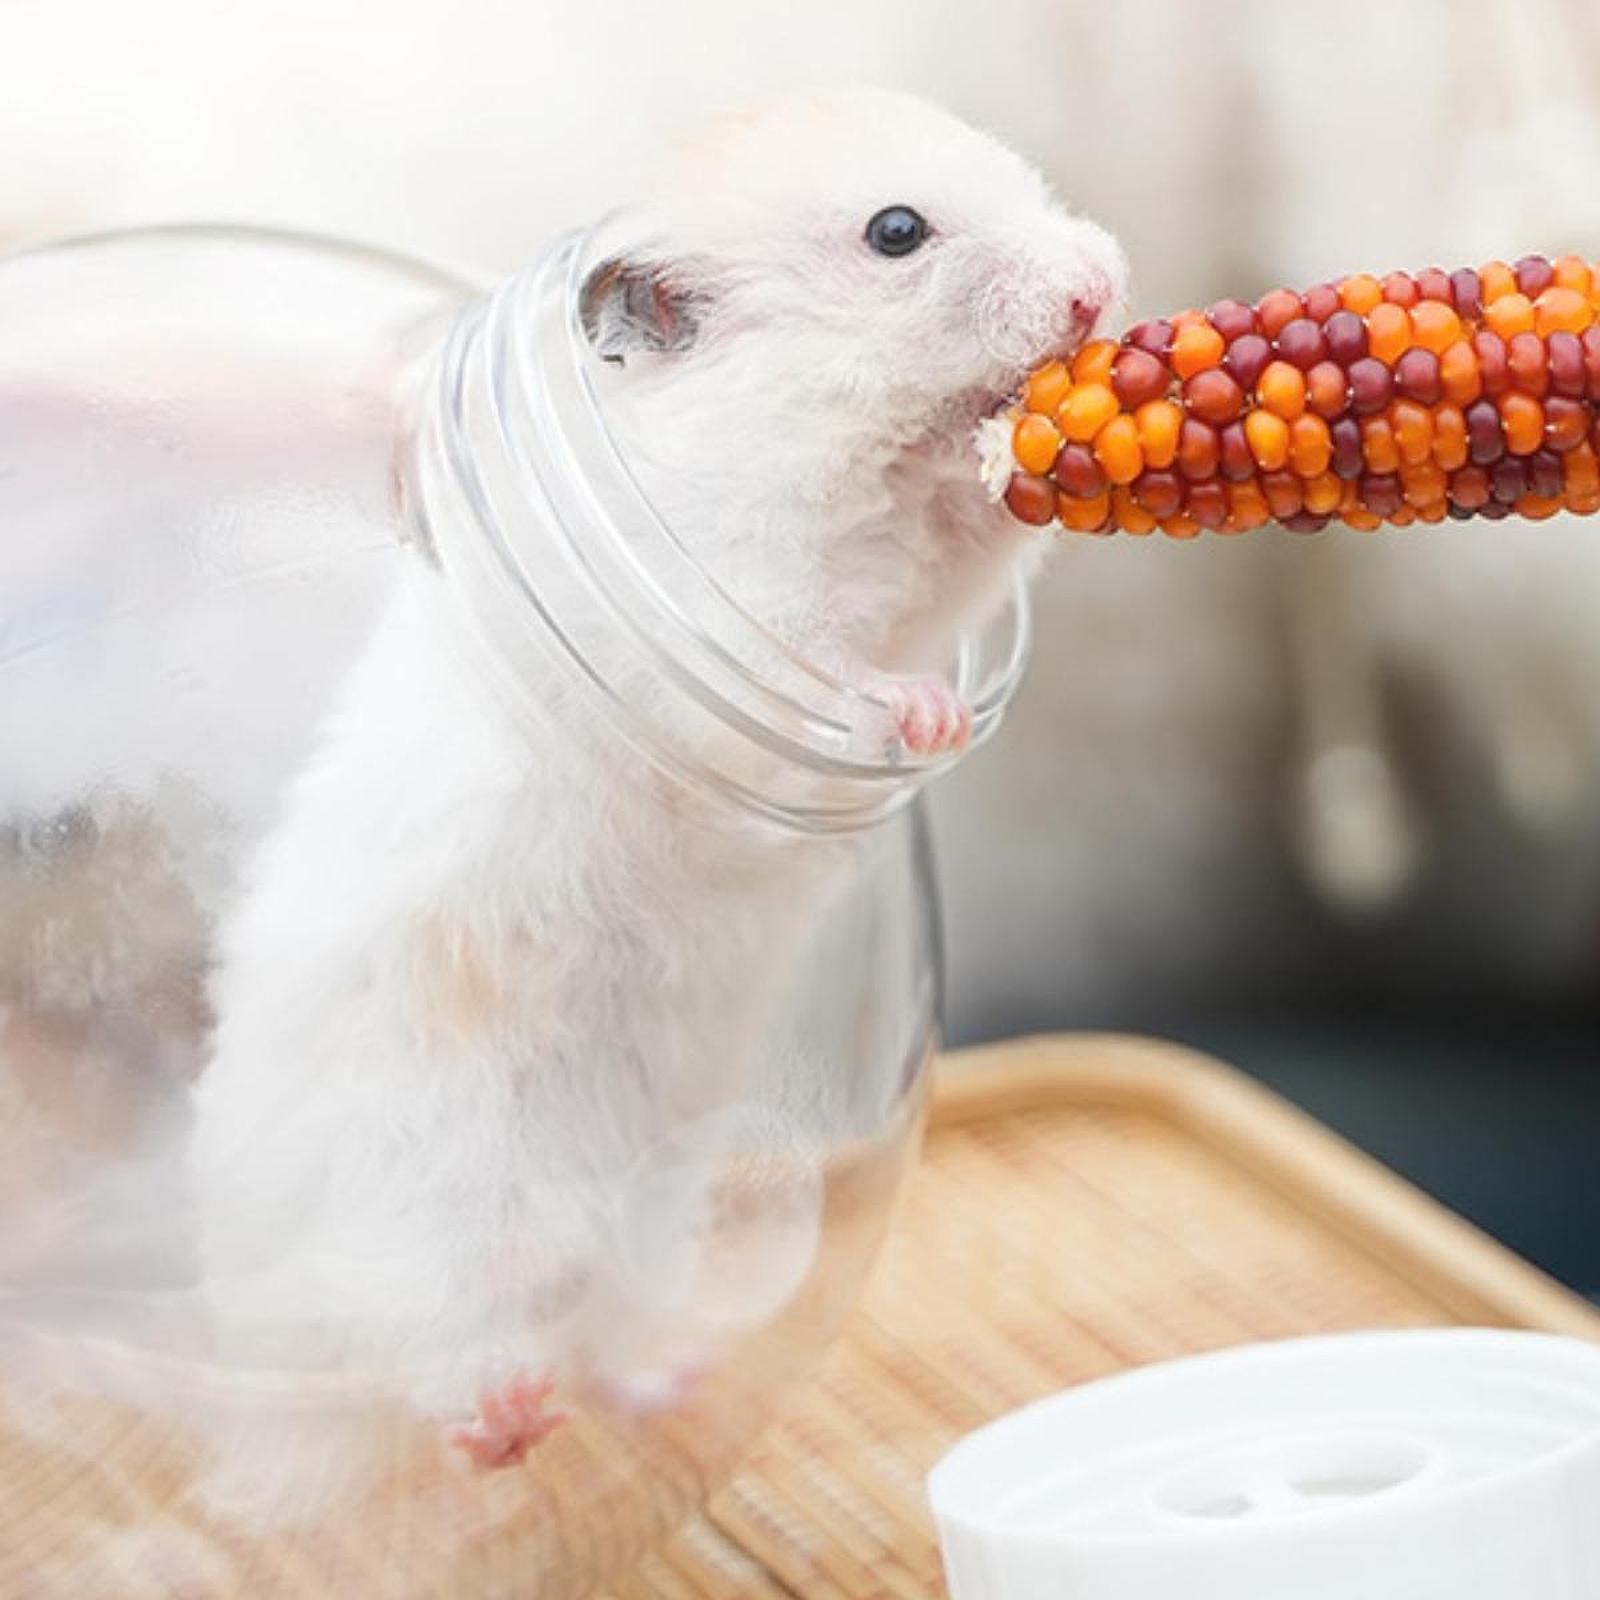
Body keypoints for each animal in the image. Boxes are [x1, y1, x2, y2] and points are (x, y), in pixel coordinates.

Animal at [188, 87, 1126, 1472]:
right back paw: (506, 1419)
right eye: (896, 233)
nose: (1101, 281)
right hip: (415, 1204)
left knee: (599, 1329)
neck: (838, 426)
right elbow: (824, 668)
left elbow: (975, 527)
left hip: (659, 1201)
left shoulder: (936, 574)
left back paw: (652, 1382)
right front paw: (920, 715)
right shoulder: (745, 601)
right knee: (426, 1352)